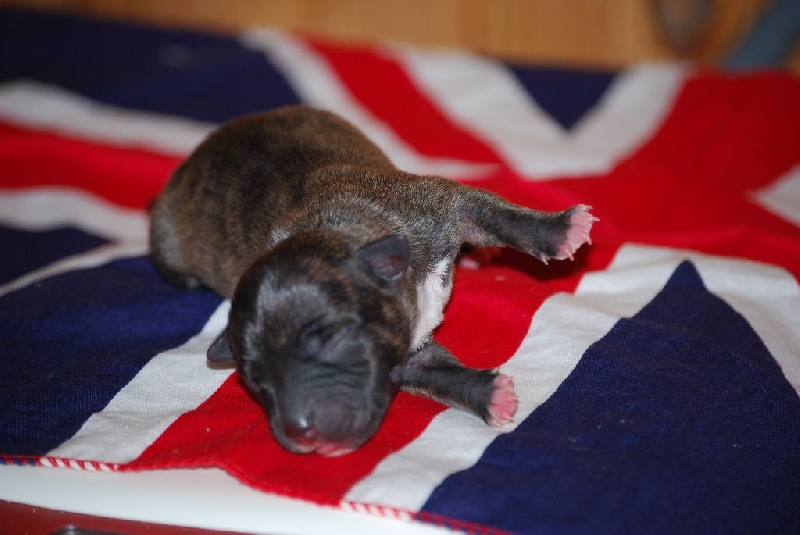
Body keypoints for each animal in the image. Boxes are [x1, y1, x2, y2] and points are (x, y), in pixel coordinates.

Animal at [149, 105, 596, 456]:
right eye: (254, 382)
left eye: (332, 342)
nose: (302, 434)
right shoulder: (405, 355)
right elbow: (441, 377)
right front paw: (491, 397)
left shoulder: (444, 202)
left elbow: (500, 215)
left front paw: (558, 230)